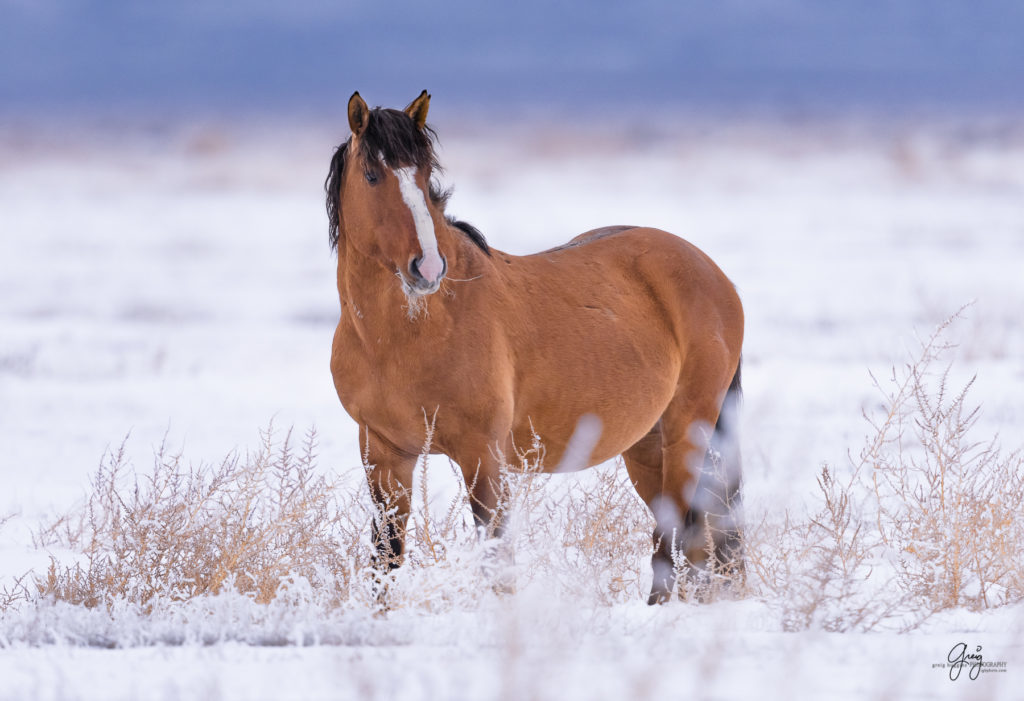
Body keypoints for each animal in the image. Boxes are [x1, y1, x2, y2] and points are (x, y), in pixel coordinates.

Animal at [327, 89, 745, 601]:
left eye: (425, 177)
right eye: (371, 175)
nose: (427, 268)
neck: (404, 337)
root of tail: (713, 273)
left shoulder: (483, 457)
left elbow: (495, 559)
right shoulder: (384, 454)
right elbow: (385, 557)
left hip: (688, 430)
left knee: (677, 539)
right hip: (648, 445)